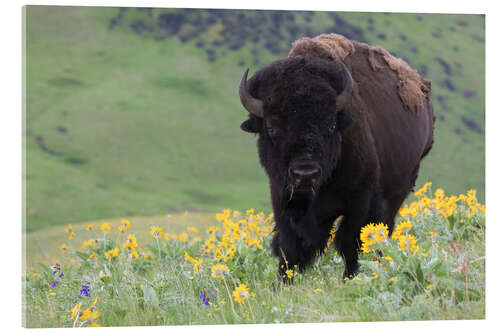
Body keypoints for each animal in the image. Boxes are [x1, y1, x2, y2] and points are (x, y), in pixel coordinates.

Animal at [238, 33, 434, 280]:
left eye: (331, 125)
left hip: (398, 191)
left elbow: (351, 242)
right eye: (271, 128)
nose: (305, 174)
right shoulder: (282, 200)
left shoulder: (360, 201)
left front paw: (352, 279)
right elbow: (289, 249)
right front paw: (283, 283)